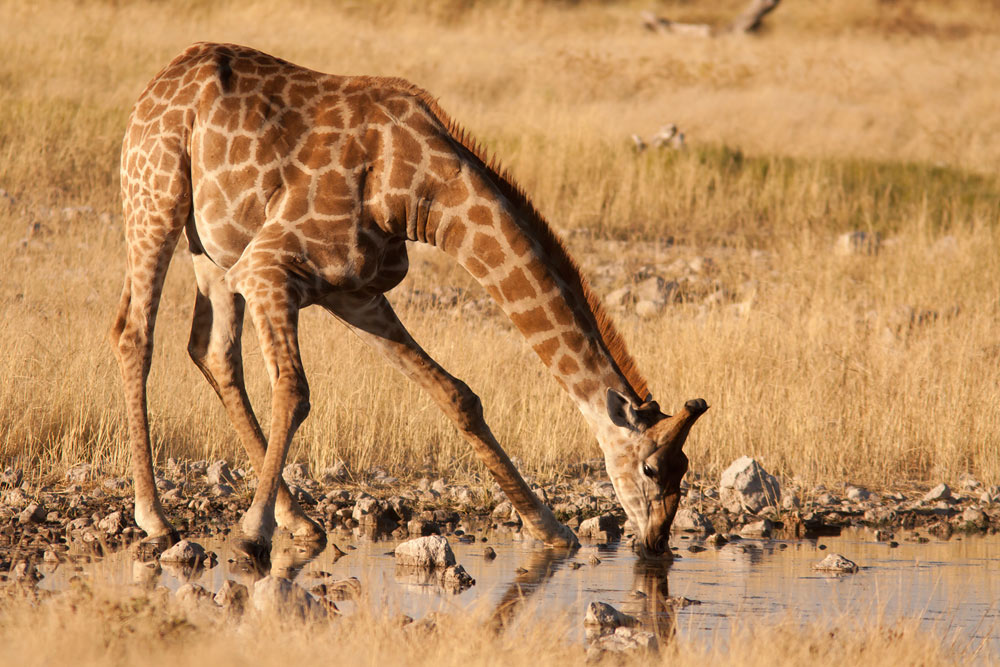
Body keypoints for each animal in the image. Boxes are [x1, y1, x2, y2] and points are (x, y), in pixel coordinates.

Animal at [113, 41, 708, 560]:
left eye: (684, 470)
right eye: (653, 469)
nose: (656, 543)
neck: (418, 190)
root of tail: (165, 73)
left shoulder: (354, 293)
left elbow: (458, 396)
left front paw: (551, 529)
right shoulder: (268, 268)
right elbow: (295, 392)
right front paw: (250, 535)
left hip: (211, 248)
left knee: (212, 351)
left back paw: (300, 521)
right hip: (155, 198)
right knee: (134, 335)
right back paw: (156, 518)